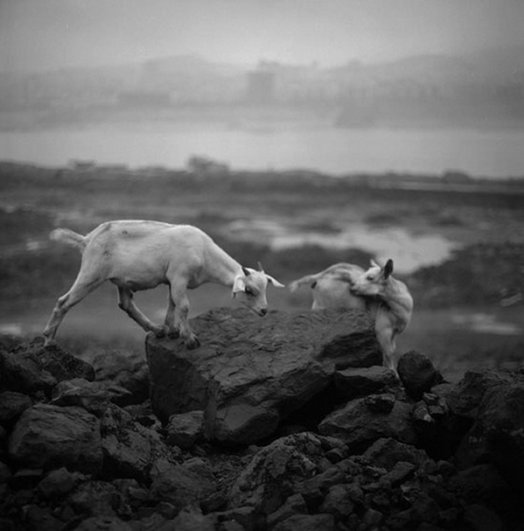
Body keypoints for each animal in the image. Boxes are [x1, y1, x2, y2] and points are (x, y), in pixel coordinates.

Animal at [43, 220, 284, 350]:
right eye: (249, 291)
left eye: (265, 289)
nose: (264, 310)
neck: (204, 252)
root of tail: (87, 239)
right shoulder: (179, 276)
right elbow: (184, 306)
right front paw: (190, 339)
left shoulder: (173, 281)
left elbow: (172, 304)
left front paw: (171, 330)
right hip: (92, 273)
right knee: (63, 302)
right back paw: (48, 340)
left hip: (120, 280)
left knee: (126, 304)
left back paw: (157, 329)